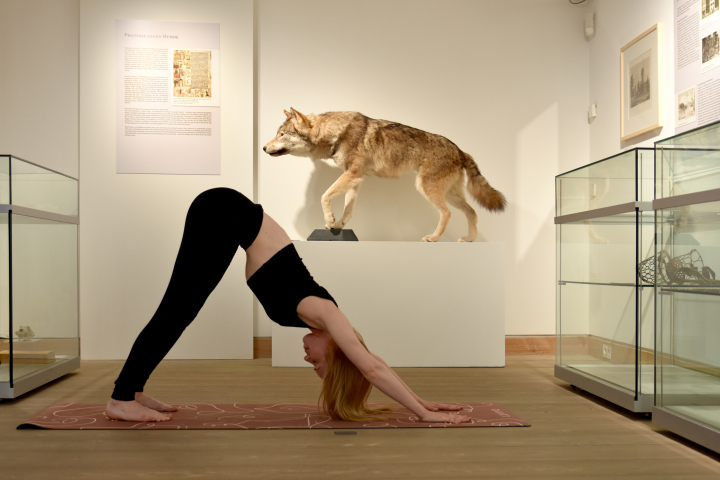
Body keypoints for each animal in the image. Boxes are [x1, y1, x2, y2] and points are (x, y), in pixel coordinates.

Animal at [264, 109, 506, 244]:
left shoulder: (352, 174)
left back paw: (434, 238)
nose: (264, 148)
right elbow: (348, 209)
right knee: (472, 212)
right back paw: (470, 240)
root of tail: (461, 150)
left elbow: (324, 195)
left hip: (427, 189)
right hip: (450, 194)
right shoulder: (356, 177)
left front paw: (330, 220)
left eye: (281, 135)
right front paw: (338, 225)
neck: (336, 133)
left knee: (447, 214)